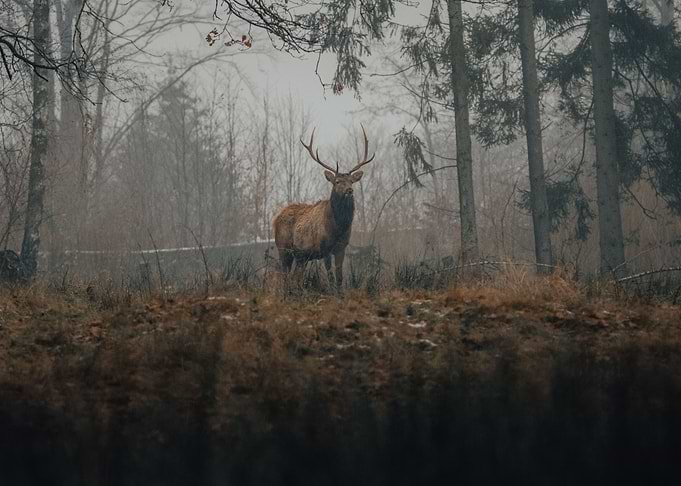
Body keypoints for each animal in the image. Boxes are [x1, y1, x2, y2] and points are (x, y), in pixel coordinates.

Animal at [273, 126, 376, 290]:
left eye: (351, 181)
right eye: (337, 181)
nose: (349, 190)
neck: (338, 228)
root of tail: (275, 219)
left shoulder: (341, 248)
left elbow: (339, 276)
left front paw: (340, 293)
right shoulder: (325, 248)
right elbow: (330, 275)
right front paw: (332, 291)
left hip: (301, 256)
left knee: (296, 277)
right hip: (283, 248)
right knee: (284, 275)